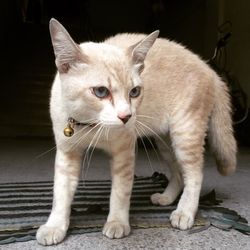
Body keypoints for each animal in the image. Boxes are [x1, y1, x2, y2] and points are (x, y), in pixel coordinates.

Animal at [35, 18, 236, 245]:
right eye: (101, 91)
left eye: (134, 92)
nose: (126, 116)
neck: (91, 125)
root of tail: (210, 70)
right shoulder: (67, 154)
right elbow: (61, 194)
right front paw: (55, 226)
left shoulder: (124, 153)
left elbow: (120, 193)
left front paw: (117, 223)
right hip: (165, 144)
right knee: (178, 173)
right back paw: (166, 198)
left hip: (184, 135)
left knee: (194, 174)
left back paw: (185, 212)